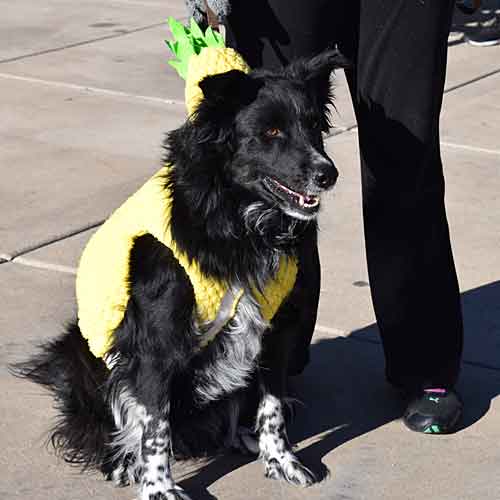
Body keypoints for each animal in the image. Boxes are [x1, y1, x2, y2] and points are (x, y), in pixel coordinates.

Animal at [13, 47, 346, 500]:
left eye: (313, 126)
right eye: (271, 131)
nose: (328, 173)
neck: (238, 221)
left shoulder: (276, 330)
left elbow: (273, 405)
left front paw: (280, 460)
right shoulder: (157, 343)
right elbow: (155, 426)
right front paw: (158, 487)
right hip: (86, 356)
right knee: (100, 425)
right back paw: (121, 461)